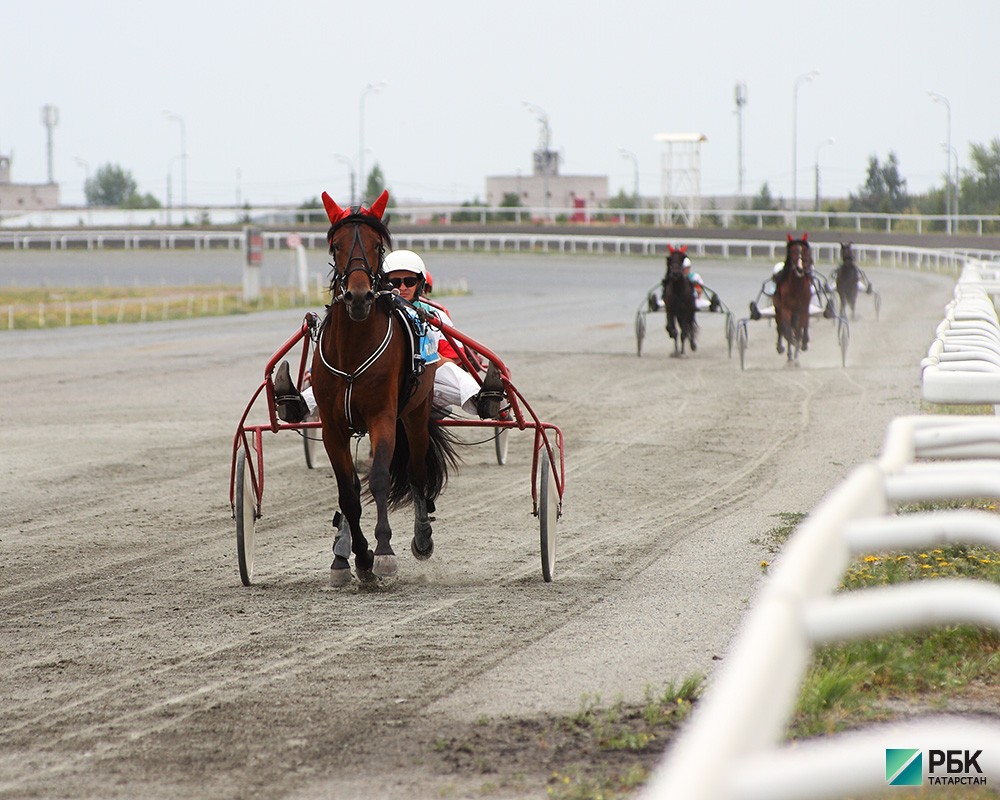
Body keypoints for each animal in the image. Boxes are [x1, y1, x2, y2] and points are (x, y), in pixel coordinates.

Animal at [310, 191, 458, 584]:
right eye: (335, 245)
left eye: (378, 245)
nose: (359, 296)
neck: (353, 350)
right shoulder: (332, 426)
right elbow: (348, 492)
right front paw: (359, 557)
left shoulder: (382, 416)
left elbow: (377, 478)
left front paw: (384, 553)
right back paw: (343, 550)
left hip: (415, 414)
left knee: (417, 472)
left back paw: (422, 537)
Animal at [768, 231, 816, 362]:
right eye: (793, 251)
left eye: (804, 251)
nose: (800, 268)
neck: (796, 287)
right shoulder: (786, 309)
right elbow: (788, 331)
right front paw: (790, 357)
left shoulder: (803, 309)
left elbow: (799, 331)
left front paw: (796, 356)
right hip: (778, 308)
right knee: (780, 327)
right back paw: (781, 347)